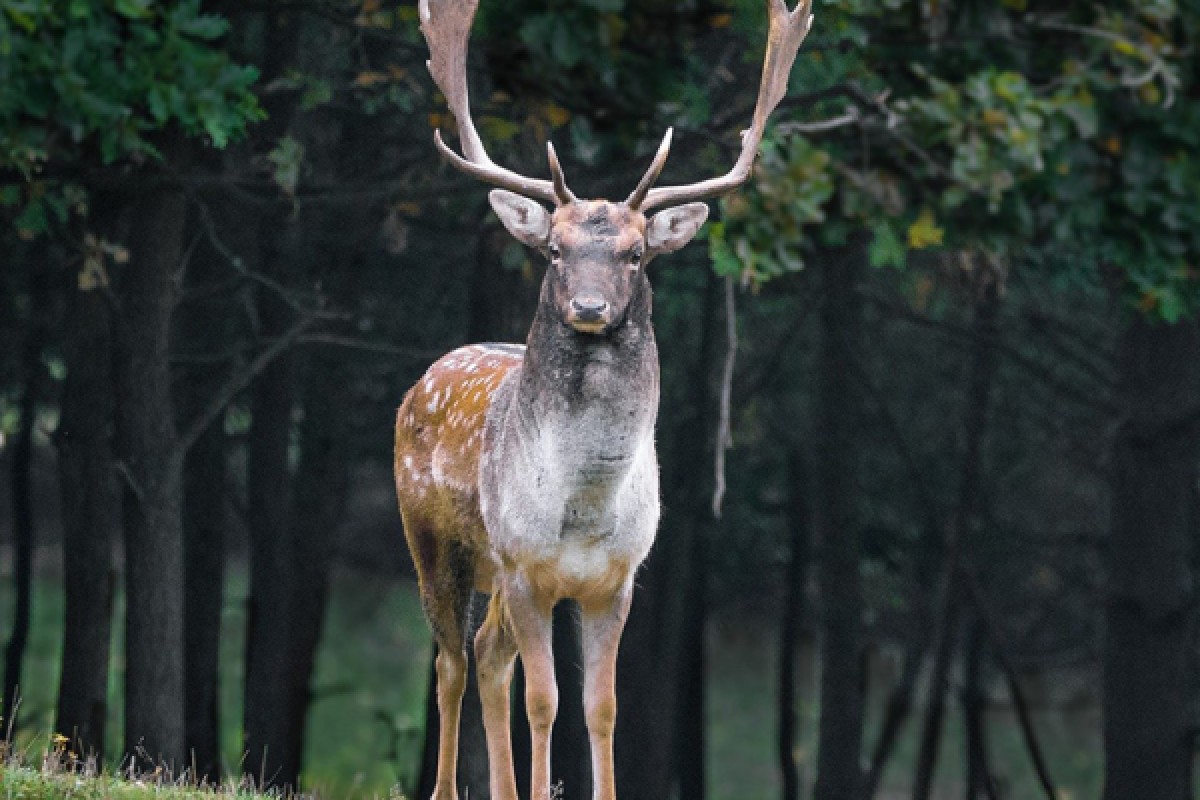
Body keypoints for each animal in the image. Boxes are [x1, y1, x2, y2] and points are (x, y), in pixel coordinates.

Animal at [394, 1, 814, 799]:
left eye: (636, 253)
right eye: (554, 250)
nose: (588, 307)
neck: (584, 508)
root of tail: (420, 382)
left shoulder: (617, 582)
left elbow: (602, 705)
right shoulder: (524, 566)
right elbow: (544, 698)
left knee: (487, 654)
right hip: (432, 538)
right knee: (452, 662)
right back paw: (446, 789)